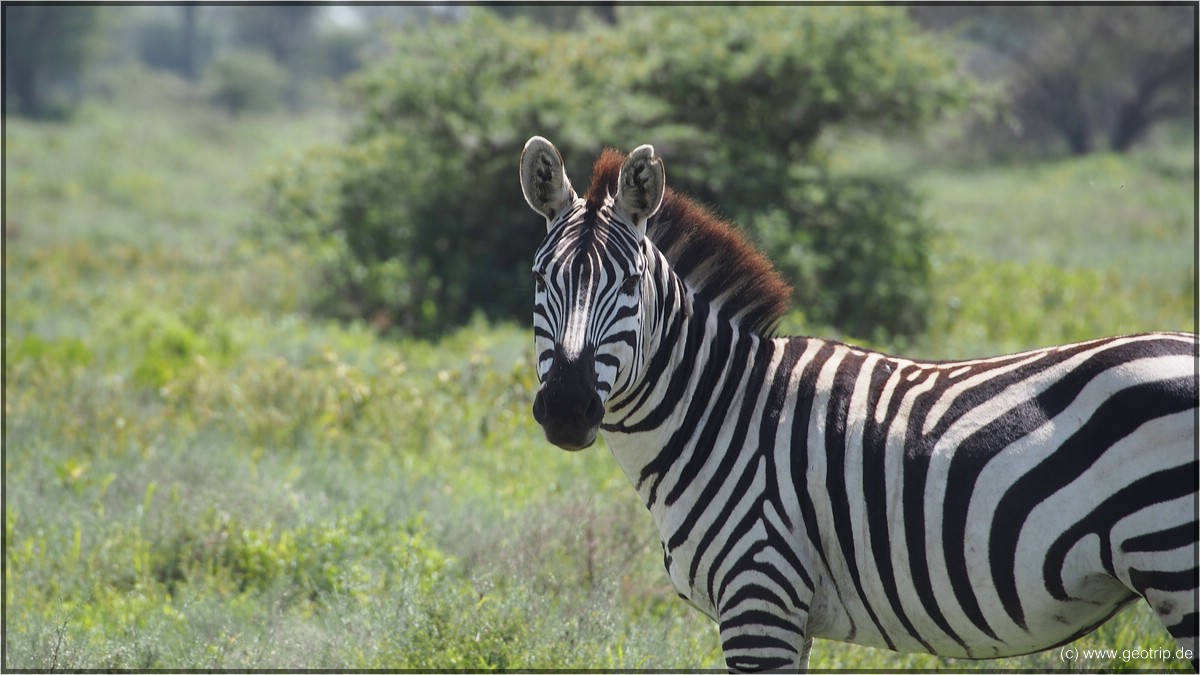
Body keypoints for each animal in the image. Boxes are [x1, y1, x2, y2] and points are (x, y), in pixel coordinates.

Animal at [518, 135, 1200, 667]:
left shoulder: (759, 594)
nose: (568, 409)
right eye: (539, 278)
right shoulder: (788, 617)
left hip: (1175, 557)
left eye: (630, 284)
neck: (719, 413)